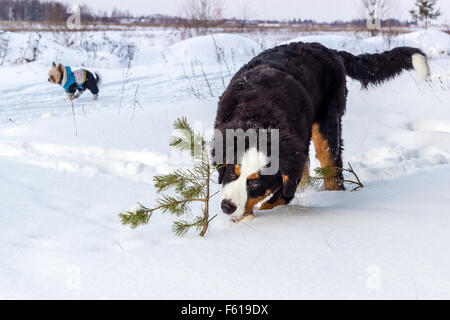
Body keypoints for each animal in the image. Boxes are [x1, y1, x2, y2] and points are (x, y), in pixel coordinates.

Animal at [213, 42, 430, 222]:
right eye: (232, 172)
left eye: (255, 183)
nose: (226, 206)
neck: (257, 116)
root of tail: (329, 50)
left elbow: (280, 195)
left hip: (327, 123)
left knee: (331, 166)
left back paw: (333, 194)